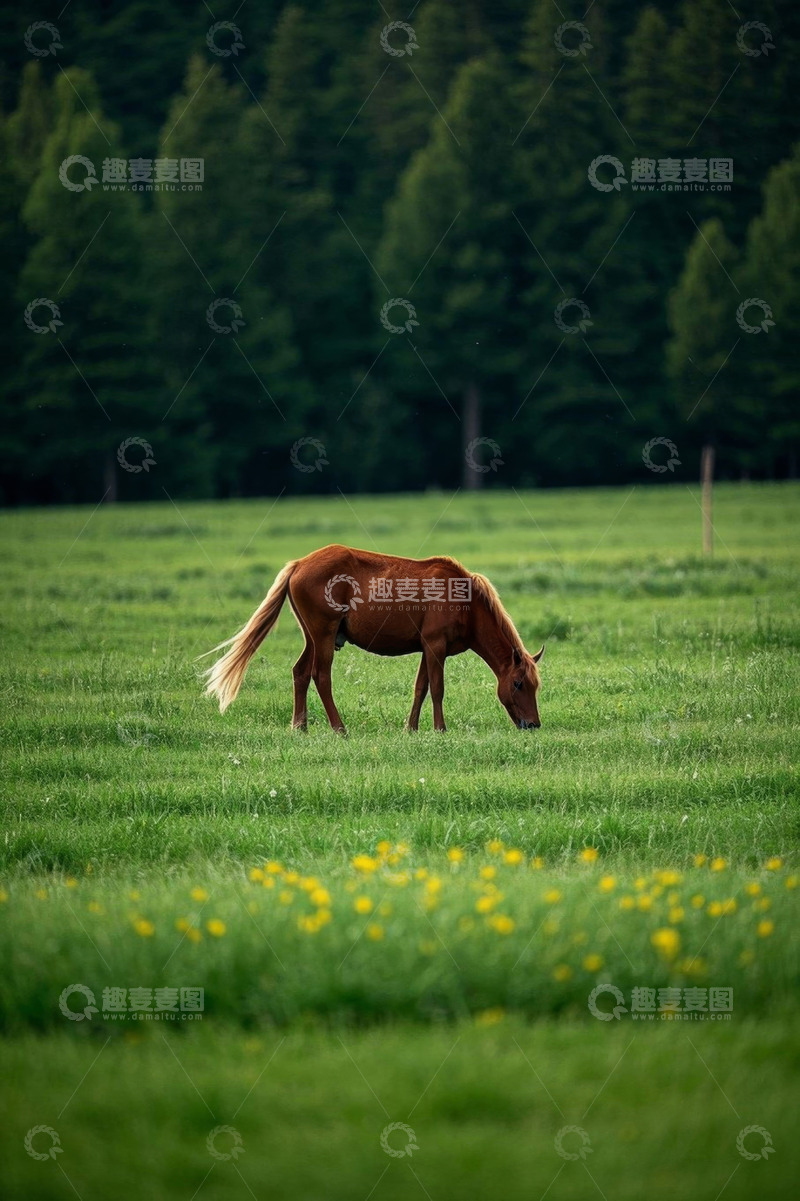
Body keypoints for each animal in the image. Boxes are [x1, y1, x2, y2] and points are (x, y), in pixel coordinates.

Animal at [202, 544, 544, 733]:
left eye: (535, 686)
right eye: (518, 684)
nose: (534, 724)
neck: (465, 602)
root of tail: (299, 565)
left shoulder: (427, 649)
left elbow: (420, 688)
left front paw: (411, 728)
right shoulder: (435, 646)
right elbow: (437, 689)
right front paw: (440, 729)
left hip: (312, 637)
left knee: (300, 672)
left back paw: (300, 726)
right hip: (323, 635)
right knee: (320, 676)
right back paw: (339, 728)